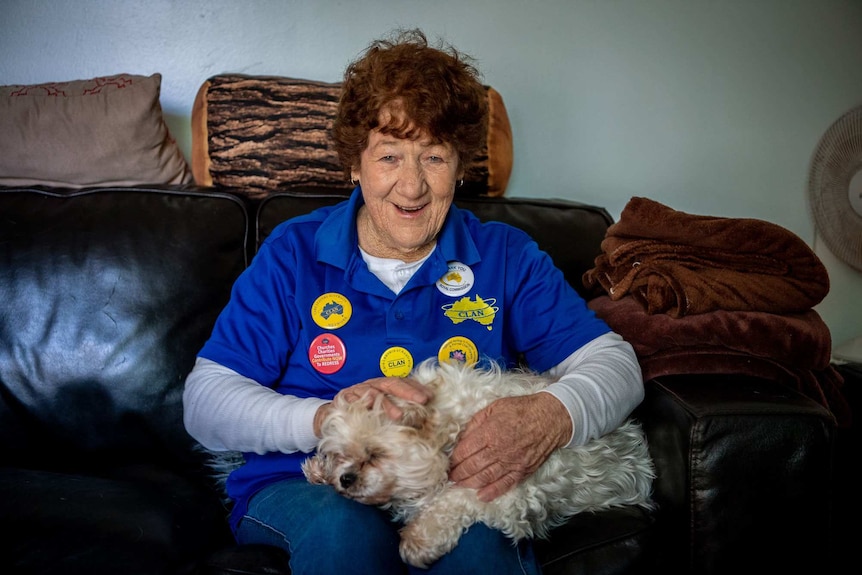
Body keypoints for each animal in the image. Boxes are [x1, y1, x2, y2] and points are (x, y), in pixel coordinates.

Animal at [302, 358, 656, 568]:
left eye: (374, 454)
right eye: (342, 454)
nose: (345, 478)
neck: (450, 427)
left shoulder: (504, 489)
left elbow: (451, 501)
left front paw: (418, 540)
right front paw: (320, 469)